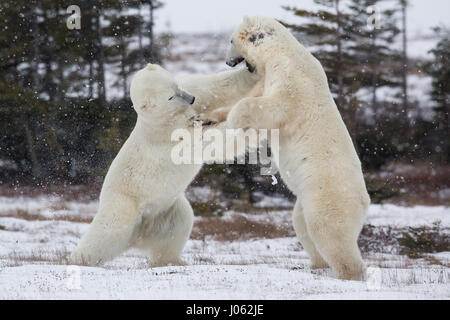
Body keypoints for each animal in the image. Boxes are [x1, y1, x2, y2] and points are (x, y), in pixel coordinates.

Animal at [70, 63, 260, 266]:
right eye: (169, 96)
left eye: (176, 86)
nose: (191, 99)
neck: (164, 118)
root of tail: (138, 237)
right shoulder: (171, 134)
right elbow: (210, 140)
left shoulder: (192, 92)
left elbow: (218, 86)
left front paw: (253, 69)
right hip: (123, 206)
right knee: (106, 233)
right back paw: (78, 260)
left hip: (165, 211)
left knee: (178, 226)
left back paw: (173, 261)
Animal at [224, 15, 370, 280]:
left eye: (230, 41)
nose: (227, 61)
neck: (280, 52)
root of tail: (365, 202)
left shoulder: (292, 80)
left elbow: (274, 107)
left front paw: (234, 120)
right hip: (305, 201)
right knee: (302, 226)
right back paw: (316, 265)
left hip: (327, 196)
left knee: (329, 232)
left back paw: (349, 273)